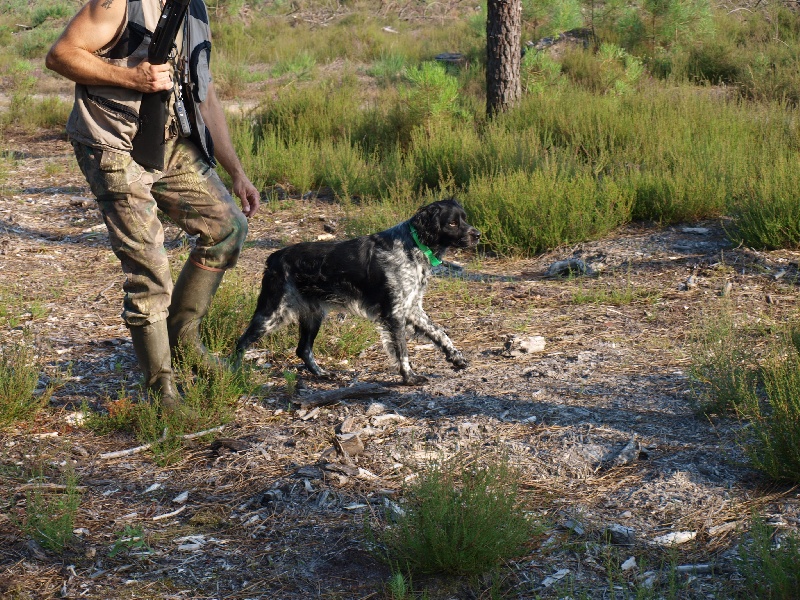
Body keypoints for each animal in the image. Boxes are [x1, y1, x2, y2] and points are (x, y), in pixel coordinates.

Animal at [234, 197, 478, 384]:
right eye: (452, 223)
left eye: (465, 219)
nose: (477, 234)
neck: (413, 245)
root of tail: (274, 257)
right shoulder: (394, 313)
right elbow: (402, 350)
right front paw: (409, 377)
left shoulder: (412, 308)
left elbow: (439, 332)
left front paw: (456, 357)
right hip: (272, 312)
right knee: (242, 342)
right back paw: (235, 373)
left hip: (313, 315)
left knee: (303, 349)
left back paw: (322, 374)